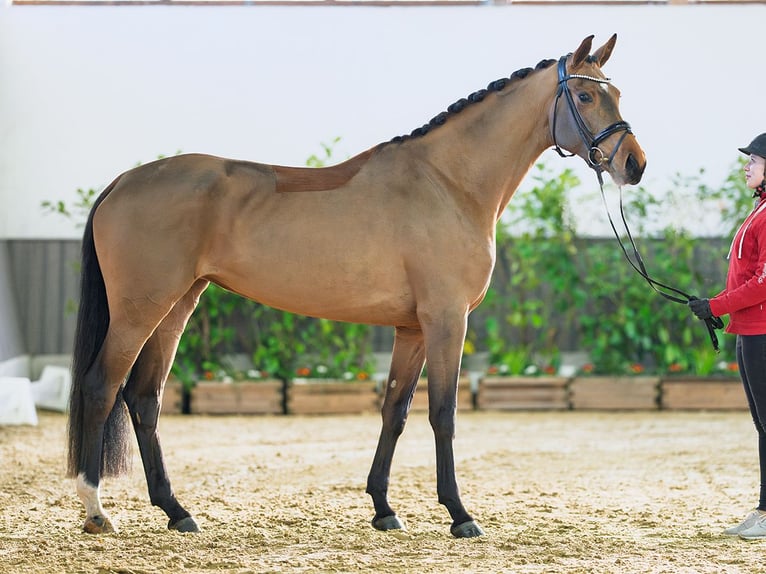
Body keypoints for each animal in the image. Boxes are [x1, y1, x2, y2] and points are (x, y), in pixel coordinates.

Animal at [67, 35, 648, 540]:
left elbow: (395, 411)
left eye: (616, 92)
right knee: (101, 387)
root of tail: (123, 181)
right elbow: (443, 412)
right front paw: (460, 515)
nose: (633, 164)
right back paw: (97, 512)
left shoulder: (411, 329)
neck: (447, 182)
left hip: (177, 306)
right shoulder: (446, 319)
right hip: (140, 311)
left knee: (143, 398)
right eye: (584, 94)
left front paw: (384, 509)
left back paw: (176, 511)